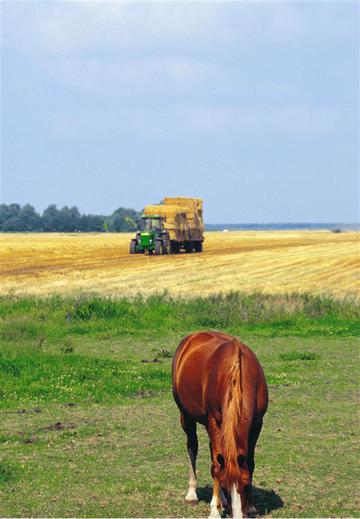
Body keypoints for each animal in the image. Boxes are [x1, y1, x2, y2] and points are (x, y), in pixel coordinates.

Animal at [172, 332, 268, 516]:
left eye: (245, 485)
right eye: (224, 485)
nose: (237, 514)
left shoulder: (257, 422)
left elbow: (250, 463)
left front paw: (251, 506)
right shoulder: (213, 420)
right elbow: (216, 467)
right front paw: (214, 511)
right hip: (186, 416)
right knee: (192, 447)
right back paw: (192, 493)